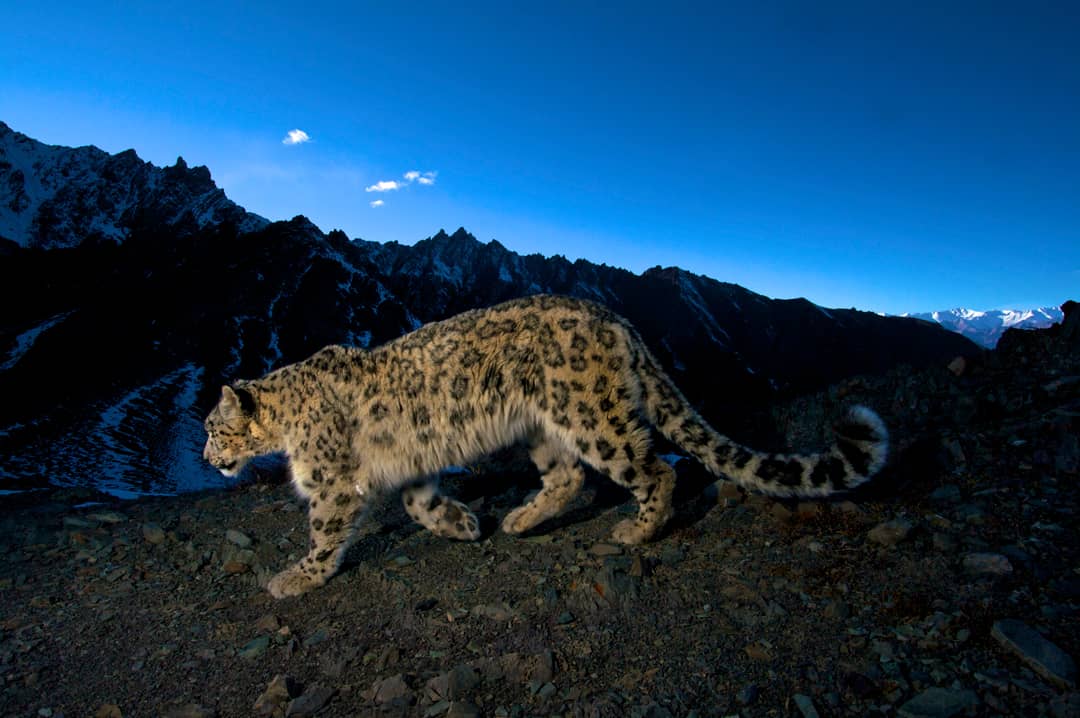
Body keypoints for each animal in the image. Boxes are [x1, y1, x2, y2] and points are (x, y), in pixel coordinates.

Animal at [203, 294, 888, 598]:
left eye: (211, 427)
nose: (208, 459)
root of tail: (616, 318)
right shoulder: (412, 468)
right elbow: (419, 504)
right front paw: (462, 524)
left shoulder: (329, 482)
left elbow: (324, 531)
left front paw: (297, 577)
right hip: (542, 428)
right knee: (568, 477)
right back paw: (519, 520)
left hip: (590, 415)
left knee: (650, 469)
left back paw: (637, 531)